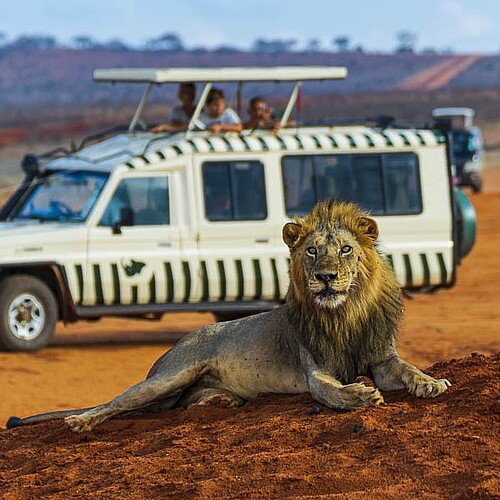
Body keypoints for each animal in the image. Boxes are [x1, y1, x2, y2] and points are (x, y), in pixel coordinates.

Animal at [4, 200, 450, 434]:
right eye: (311, 251)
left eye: (345, 250)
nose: (325, 277)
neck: (345, 314)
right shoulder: (314, 370)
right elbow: (329, 391)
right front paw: (360, 394)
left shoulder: (382, 358)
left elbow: (407, 368)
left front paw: (431, 383)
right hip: (171, 375)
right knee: (120, 402)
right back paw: (80, 421)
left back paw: (218, 400)